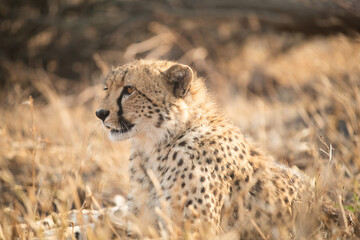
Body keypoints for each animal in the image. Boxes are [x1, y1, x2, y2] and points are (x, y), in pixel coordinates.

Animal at [95, 59, 358, 238]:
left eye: (129, 90)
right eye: (106, 88)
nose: (100, 113)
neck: (154, 146)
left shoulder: (194, 227)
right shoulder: (140, 219)